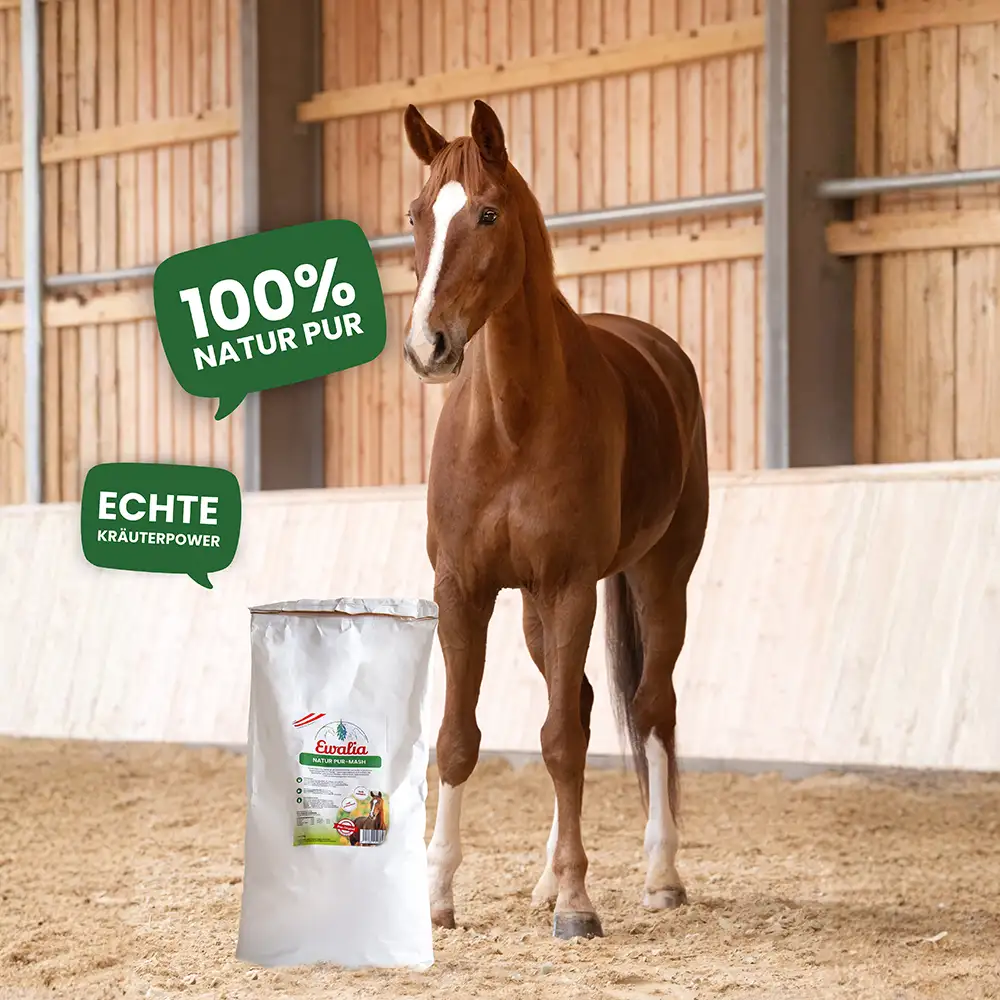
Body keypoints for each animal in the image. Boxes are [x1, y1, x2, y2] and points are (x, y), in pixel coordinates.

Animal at [401, 99, 709, 940]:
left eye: (488, 213)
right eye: (415, 214)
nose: (428, 345)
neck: (512, 420)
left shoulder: (571, 584)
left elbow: (564, 744)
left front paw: (577, 901)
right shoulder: (463, 590)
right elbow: (458, 740)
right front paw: (436, 895)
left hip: (659, 579)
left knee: (651, 708)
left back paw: (660, 876)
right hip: (537, 611)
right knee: (582, 702)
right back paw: (545, 877)